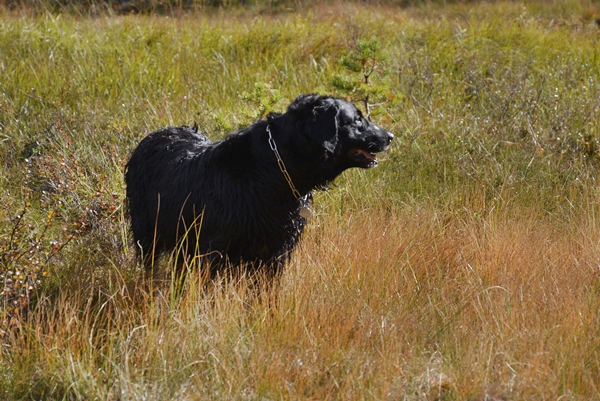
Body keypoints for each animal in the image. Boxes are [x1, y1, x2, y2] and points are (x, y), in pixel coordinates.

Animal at [124, 94, 394, 276]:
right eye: (357, 120)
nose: (390, 136)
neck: (275, 170)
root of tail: (152, 136)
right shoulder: (215, 250)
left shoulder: (276, 252)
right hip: (148, 234)